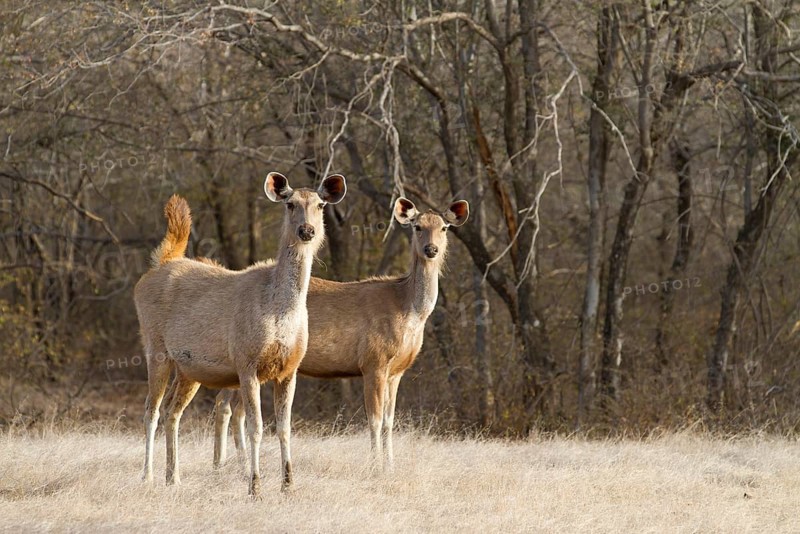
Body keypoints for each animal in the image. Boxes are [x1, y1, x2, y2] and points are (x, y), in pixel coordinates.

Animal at [134, 172, 347, 497]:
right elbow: (255, 428)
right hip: (155, 347)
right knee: (151, 410)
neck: (280, 314)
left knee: (172, 411)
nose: (306, 230)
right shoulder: (247, 364)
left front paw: (288, 485)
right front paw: (255, 487)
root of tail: (160, 264)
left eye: (320, 205)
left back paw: (174, 477)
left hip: (189, 369)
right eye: (290, 204)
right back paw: (147, 477)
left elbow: (285, 428)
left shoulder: (290, 370)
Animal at [209, 196, 469, 471]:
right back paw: (230, 466)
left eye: (444, 228)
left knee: (229, 405)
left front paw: (390, 466)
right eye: (417, 227)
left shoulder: (397, 371)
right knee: (228, 406)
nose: (431, 249)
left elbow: (390, 421)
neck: (408, 309)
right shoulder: (373, 362)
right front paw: (376, 467)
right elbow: (375, 420)